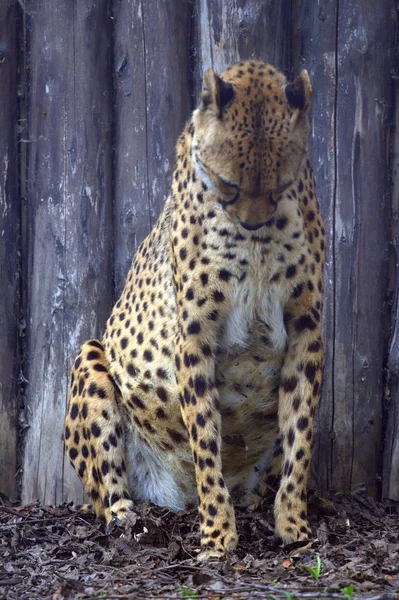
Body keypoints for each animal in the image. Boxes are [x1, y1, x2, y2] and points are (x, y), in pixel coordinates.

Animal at [65, 61, 324, 556]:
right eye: (229, 185)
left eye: (280, 185)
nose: (253, 222)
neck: (257, 242)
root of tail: (174, 498)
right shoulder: (195, 332)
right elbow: (204, 432)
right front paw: (218, 533)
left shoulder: (307, 324)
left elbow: (301, 433)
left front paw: (293, 523)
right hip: (90, 357)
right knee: (104, 496)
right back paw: (130, 519)